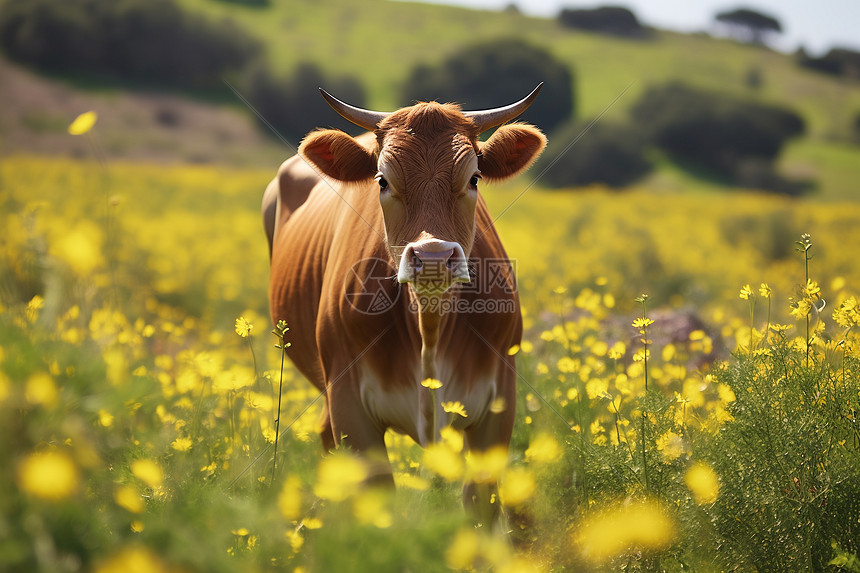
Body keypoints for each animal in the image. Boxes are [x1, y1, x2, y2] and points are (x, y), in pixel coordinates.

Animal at [264, 86, 544, 528]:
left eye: (474, 178)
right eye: (382, 180)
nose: (432, 257)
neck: (429, 329)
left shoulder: (499, 403)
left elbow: (480, 504)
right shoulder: (350, 407)